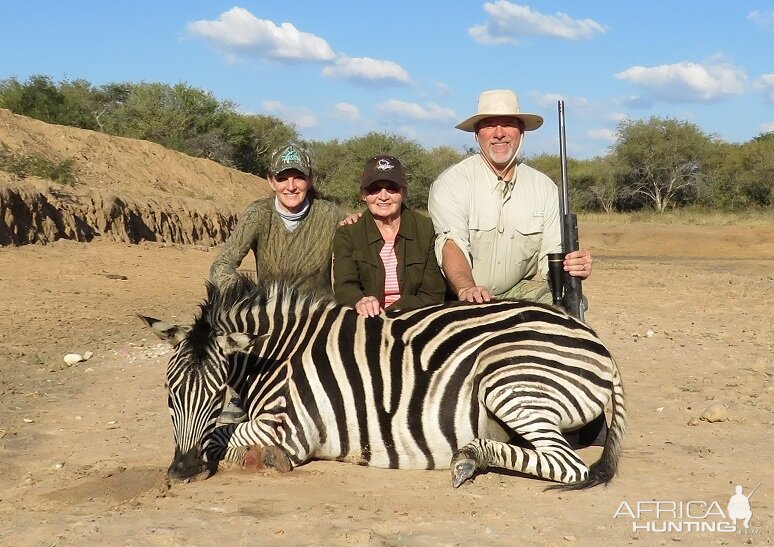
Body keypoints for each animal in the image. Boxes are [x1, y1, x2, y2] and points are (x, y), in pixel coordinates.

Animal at [138, 274, 624, 492]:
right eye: (169, 394)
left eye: (216, 392)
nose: (181, 471)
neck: (278, 354)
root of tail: (597, 342)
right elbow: (221, 432)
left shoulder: (290, 427)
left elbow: (223, 434)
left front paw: (260, 458)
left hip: (509, 379)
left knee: (567, 464)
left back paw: (467, 458)